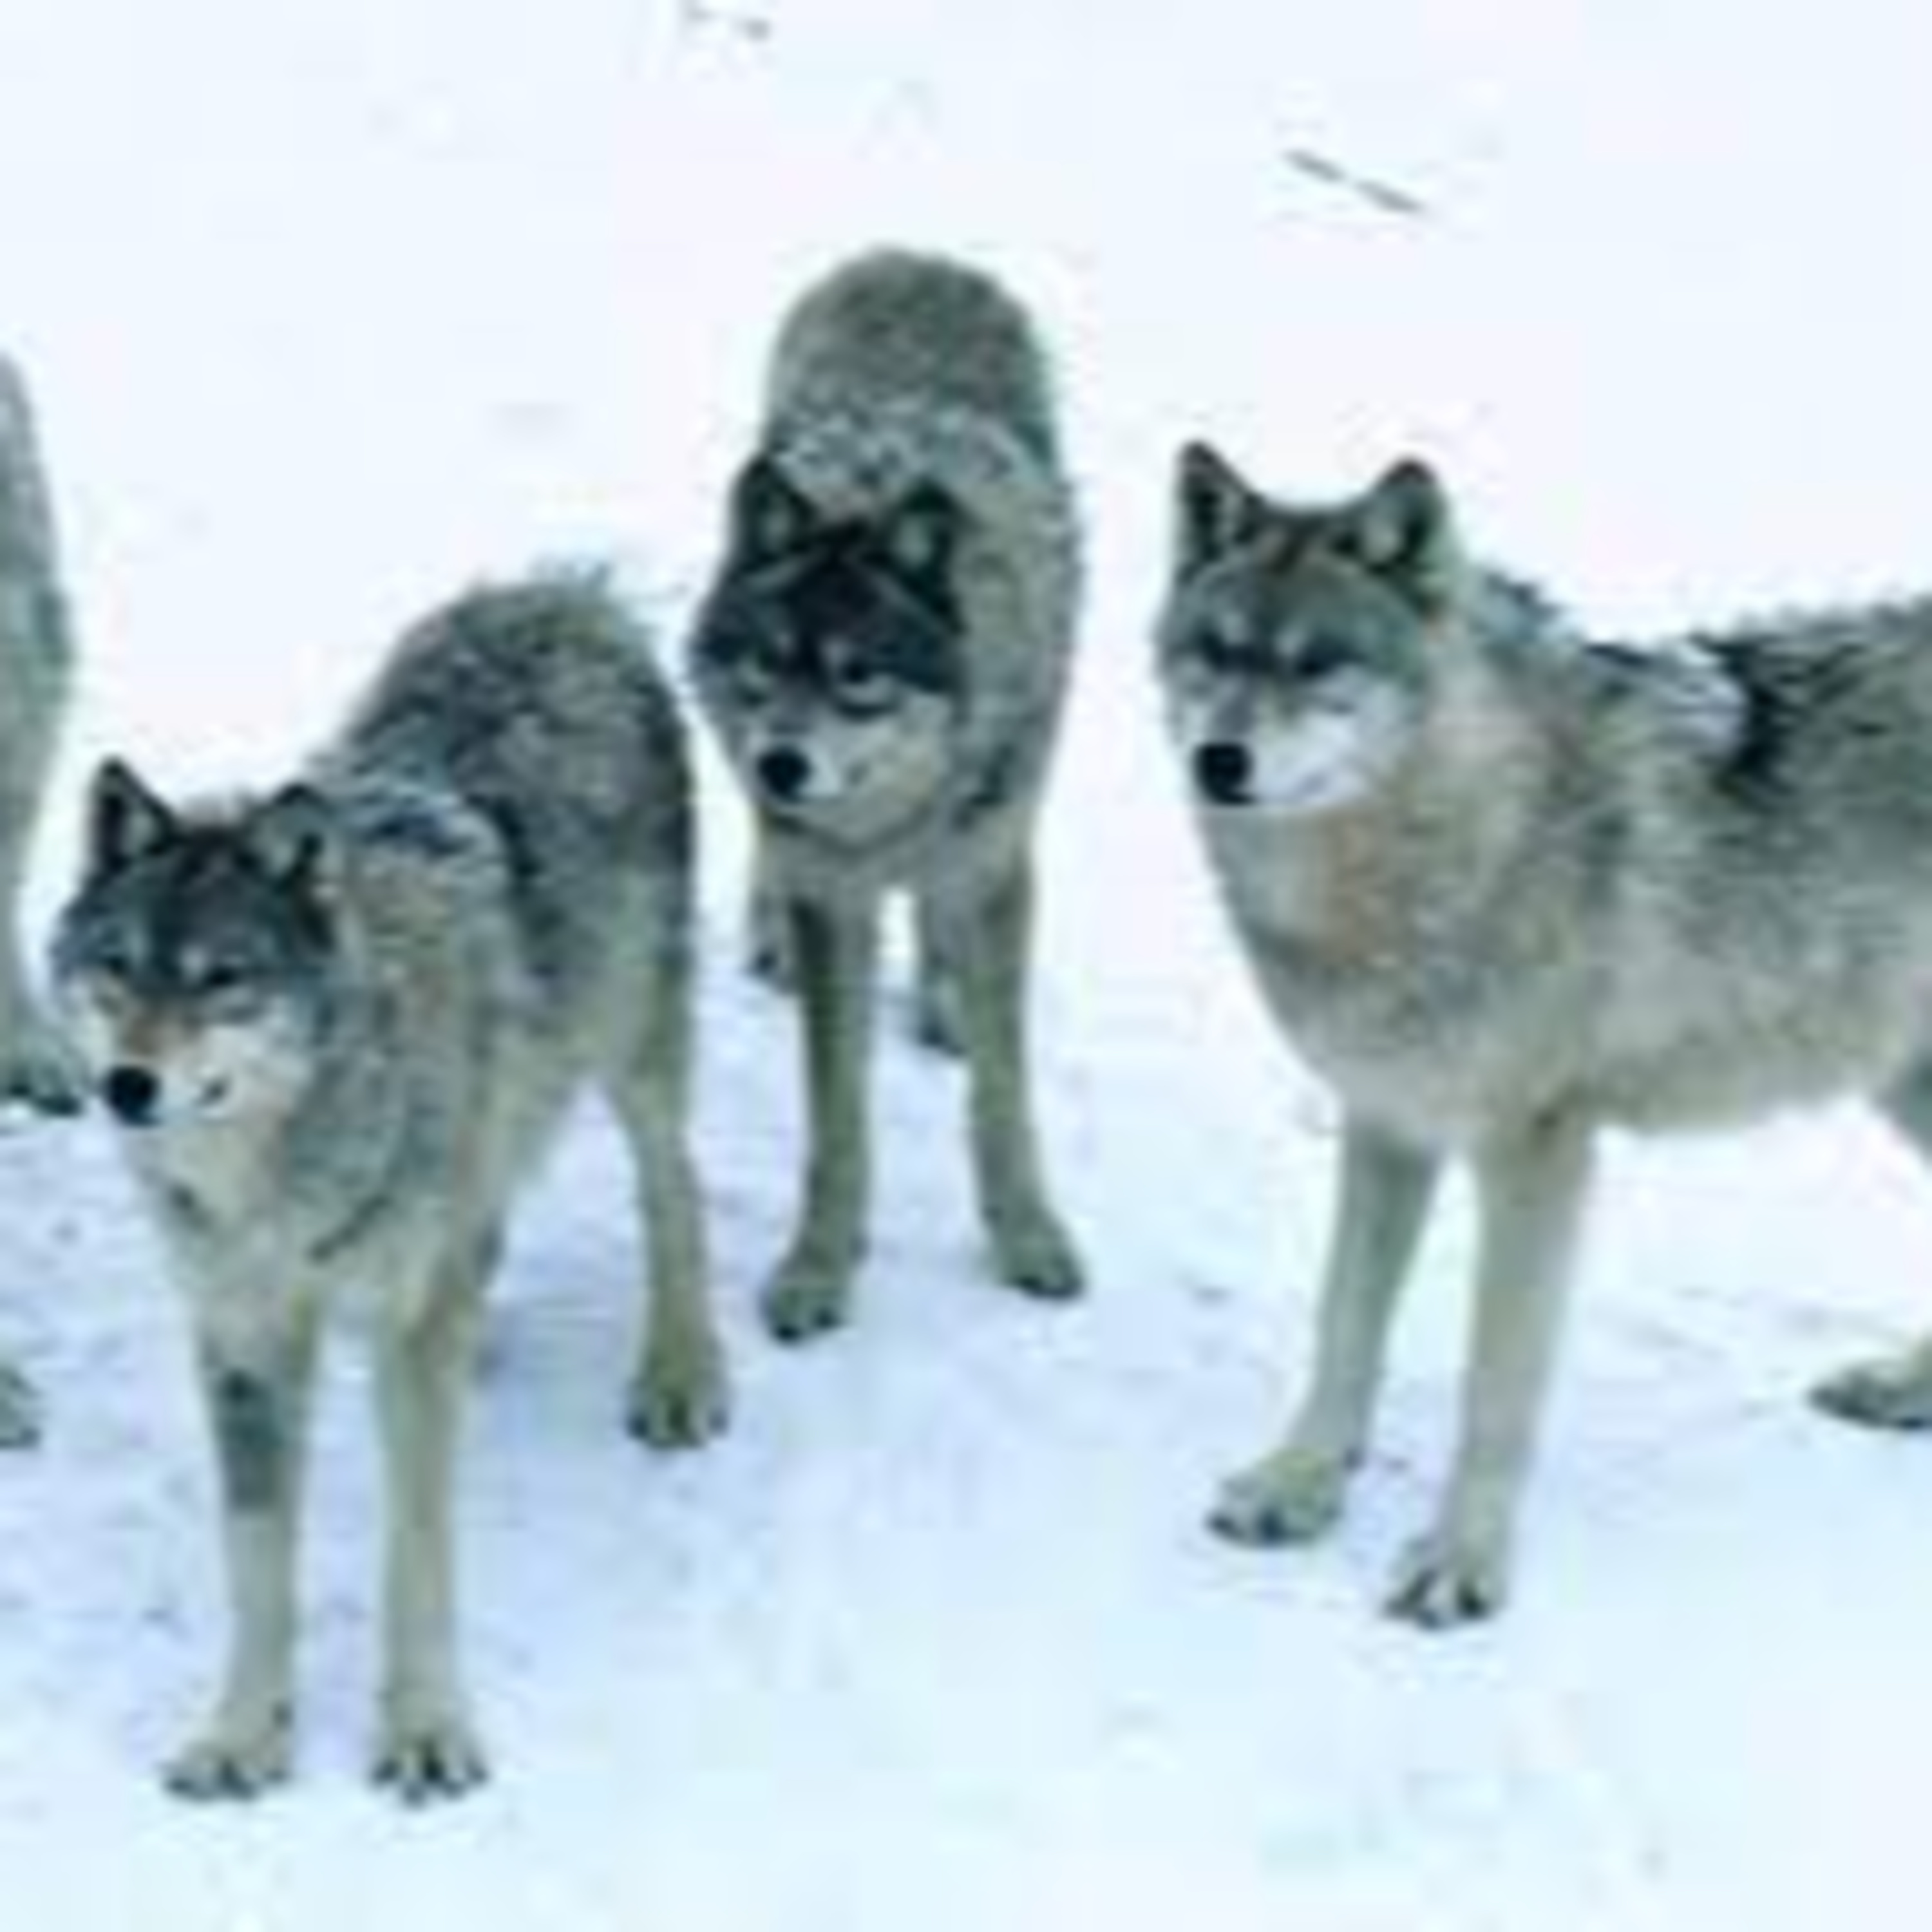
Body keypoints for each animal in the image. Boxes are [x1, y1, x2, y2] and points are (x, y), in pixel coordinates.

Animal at [53, 575, 726, 1800]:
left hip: (631, 1048)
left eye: (222, 980)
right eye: (117, 967)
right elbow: (256, 1562)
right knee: (490, 1234)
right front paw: (242, 1738)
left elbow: (417, 1544)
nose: (126, 1086)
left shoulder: (401, 1338)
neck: (278, 1179)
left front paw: (423, 1732)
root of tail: (565, 592)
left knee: (677, 1191)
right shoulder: (242, 1339)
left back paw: (681, 1378)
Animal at [688, 248, 1085, 1342]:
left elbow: (1004, 1097)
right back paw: (773, 940)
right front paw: (817, 1269)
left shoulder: (995, 869)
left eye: (858, 676)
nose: (781, 764)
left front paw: (1029, 1239)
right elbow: (838, 1117)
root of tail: (912, 256)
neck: (896, 814)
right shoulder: (832, 889)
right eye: (768, 662)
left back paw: (943, 1003)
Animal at [1157, 442, 1932, 1626]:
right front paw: (1300, 1485)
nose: (1218, 760)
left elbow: (1496, 1383)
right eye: (1217, 651)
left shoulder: (1536, 1152)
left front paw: (1461, 1563)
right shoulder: (1385, 1122)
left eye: (1317, 664)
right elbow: (1343, 1328)